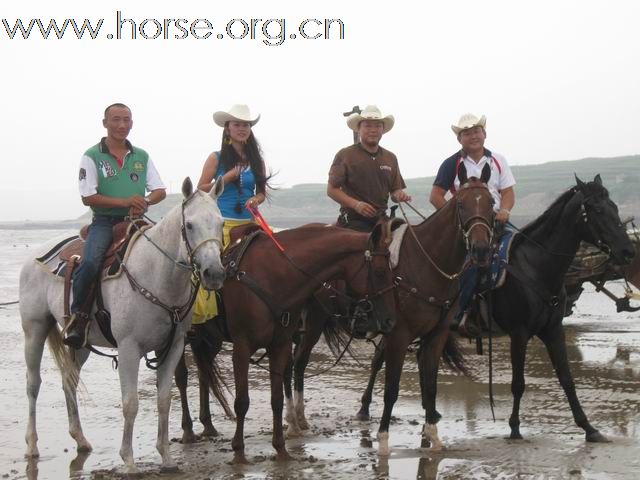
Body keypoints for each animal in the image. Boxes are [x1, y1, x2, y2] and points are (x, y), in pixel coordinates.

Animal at [20, 176, 225, 472]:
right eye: (189, 225)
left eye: (221, 223)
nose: (215, 273)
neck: (156, 275)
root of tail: (36, 255)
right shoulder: (129, 349)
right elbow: (130, 404)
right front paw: (128, 461)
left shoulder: (173, 347)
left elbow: (164, 400)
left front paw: (166, 457)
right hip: (34, 329)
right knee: (33, 384)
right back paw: (32, 445)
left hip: (79, 343)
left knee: (69, 381)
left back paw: (80, 439)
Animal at [284, 165, 496, 454]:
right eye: (461, 204)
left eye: (492, 202)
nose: (481, 249)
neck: (425, 263)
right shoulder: (399, 335)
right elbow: (391, 389)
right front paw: (383, 440)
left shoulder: (435, 336)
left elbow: (430, 385)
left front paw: (433, 435)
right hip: (313, 319)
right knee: (297, 362)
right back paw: (295, 419)